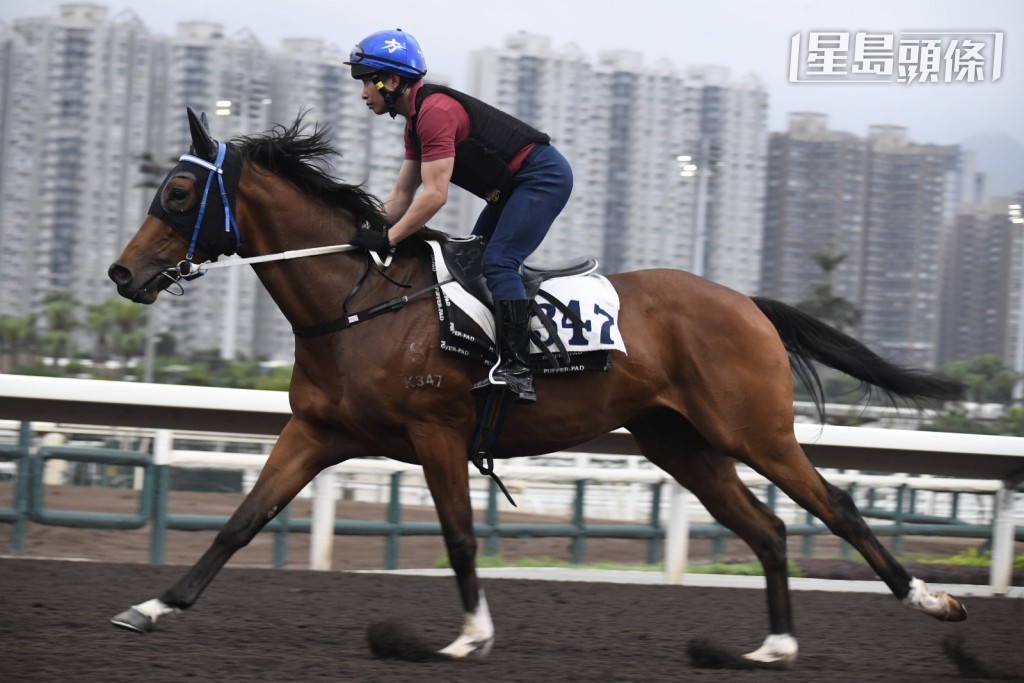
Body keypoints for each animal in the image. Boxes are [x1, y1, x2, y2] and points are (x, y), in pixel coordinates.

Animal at [106, 108, 967, 667]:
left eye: (177, 194)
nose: (121, 272)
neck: (357, 305)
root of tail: (747, 302)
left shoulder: (438, 434)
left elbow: (458, 535)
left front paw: (468, 636)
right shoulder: (316, 433)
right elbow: (240, 522)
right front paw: (152, 605)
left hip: (753, 429)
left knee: (835, 506)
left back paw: (933, 601)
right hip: (681, 442)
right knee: (768, 528)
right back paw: (774, 645)